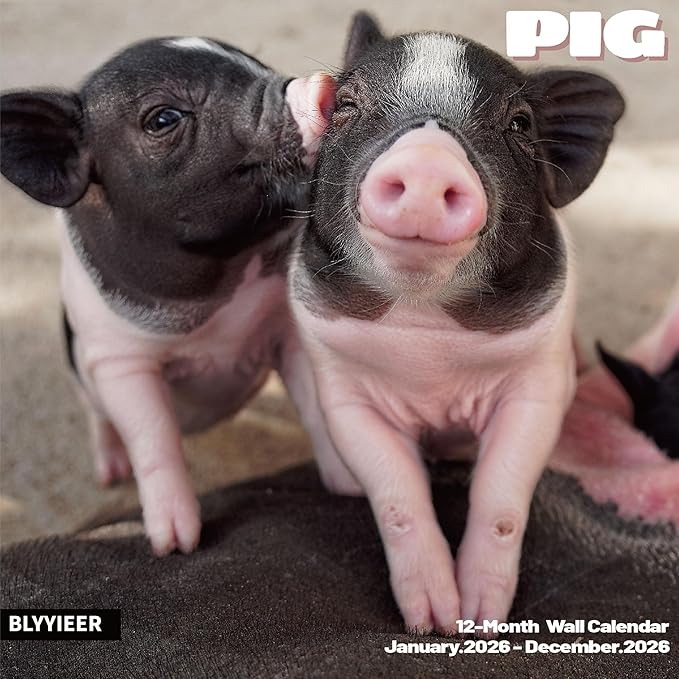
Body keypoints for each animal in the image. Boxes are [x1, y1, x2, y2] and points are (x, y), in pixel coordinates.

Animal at [0, 37, 334, 556]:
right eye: (163, 119)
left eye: (257, 65)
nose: (320, 85)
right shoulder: (119, 361)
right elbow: (154, 436)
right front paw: (176, 544)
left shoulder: (286, 330)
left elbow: (314, 405)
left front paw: (346, 487)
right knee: (98, 420)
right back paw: (109, 475)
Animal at [287, 12, 625, 634]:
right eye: (346, 105)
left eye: (519, 123)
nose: (426, 160)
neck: (430, 354)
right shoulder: (345, 392)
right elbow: (397, 498)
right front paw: (430, 622)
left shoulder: (539, 384)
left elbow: (501, 496)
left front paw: (478, 620)